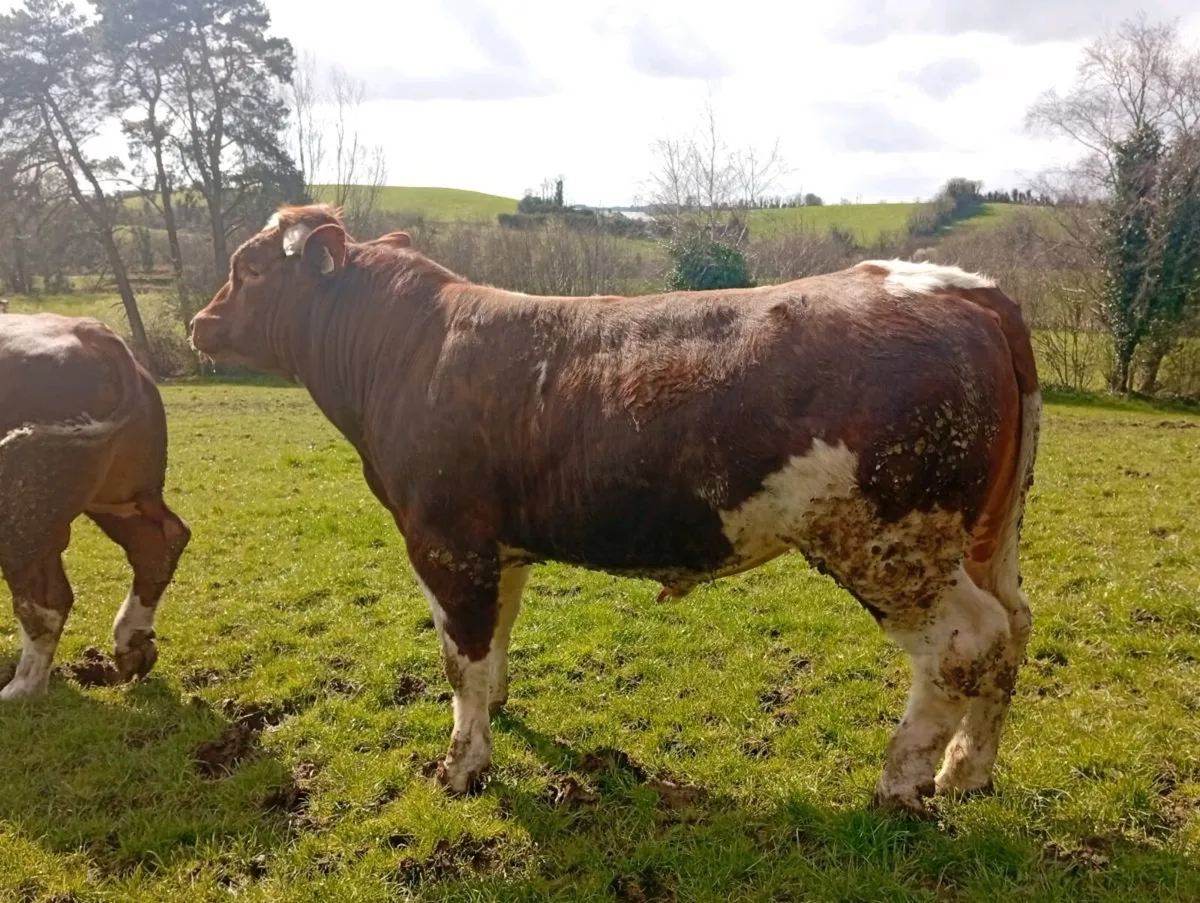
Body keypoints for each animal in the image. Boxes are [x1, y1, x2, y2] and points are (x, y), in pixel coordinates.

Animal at [0, 314, 191, 699]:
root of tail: (89, 331)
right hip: (121, 499)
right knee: (160, 541)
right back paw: (132, 646)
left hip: (22, 518)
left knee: (45, 603)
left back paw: (21, 688)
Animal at [189, 205, 1040, 815]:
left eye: (248, 268)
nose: (198, 323)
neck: (403, 352)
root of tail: (963, 286)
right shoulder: (498, 546)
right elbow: (495, 639)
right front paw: (499, 706)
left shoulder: (444, 539)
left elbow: (458, 659)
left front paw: (462, 765)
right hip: (981, 537)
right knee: (1014, 624)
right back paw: (967, 771)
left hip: (890, 538)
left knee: (964, 641)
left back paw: (900, 783)